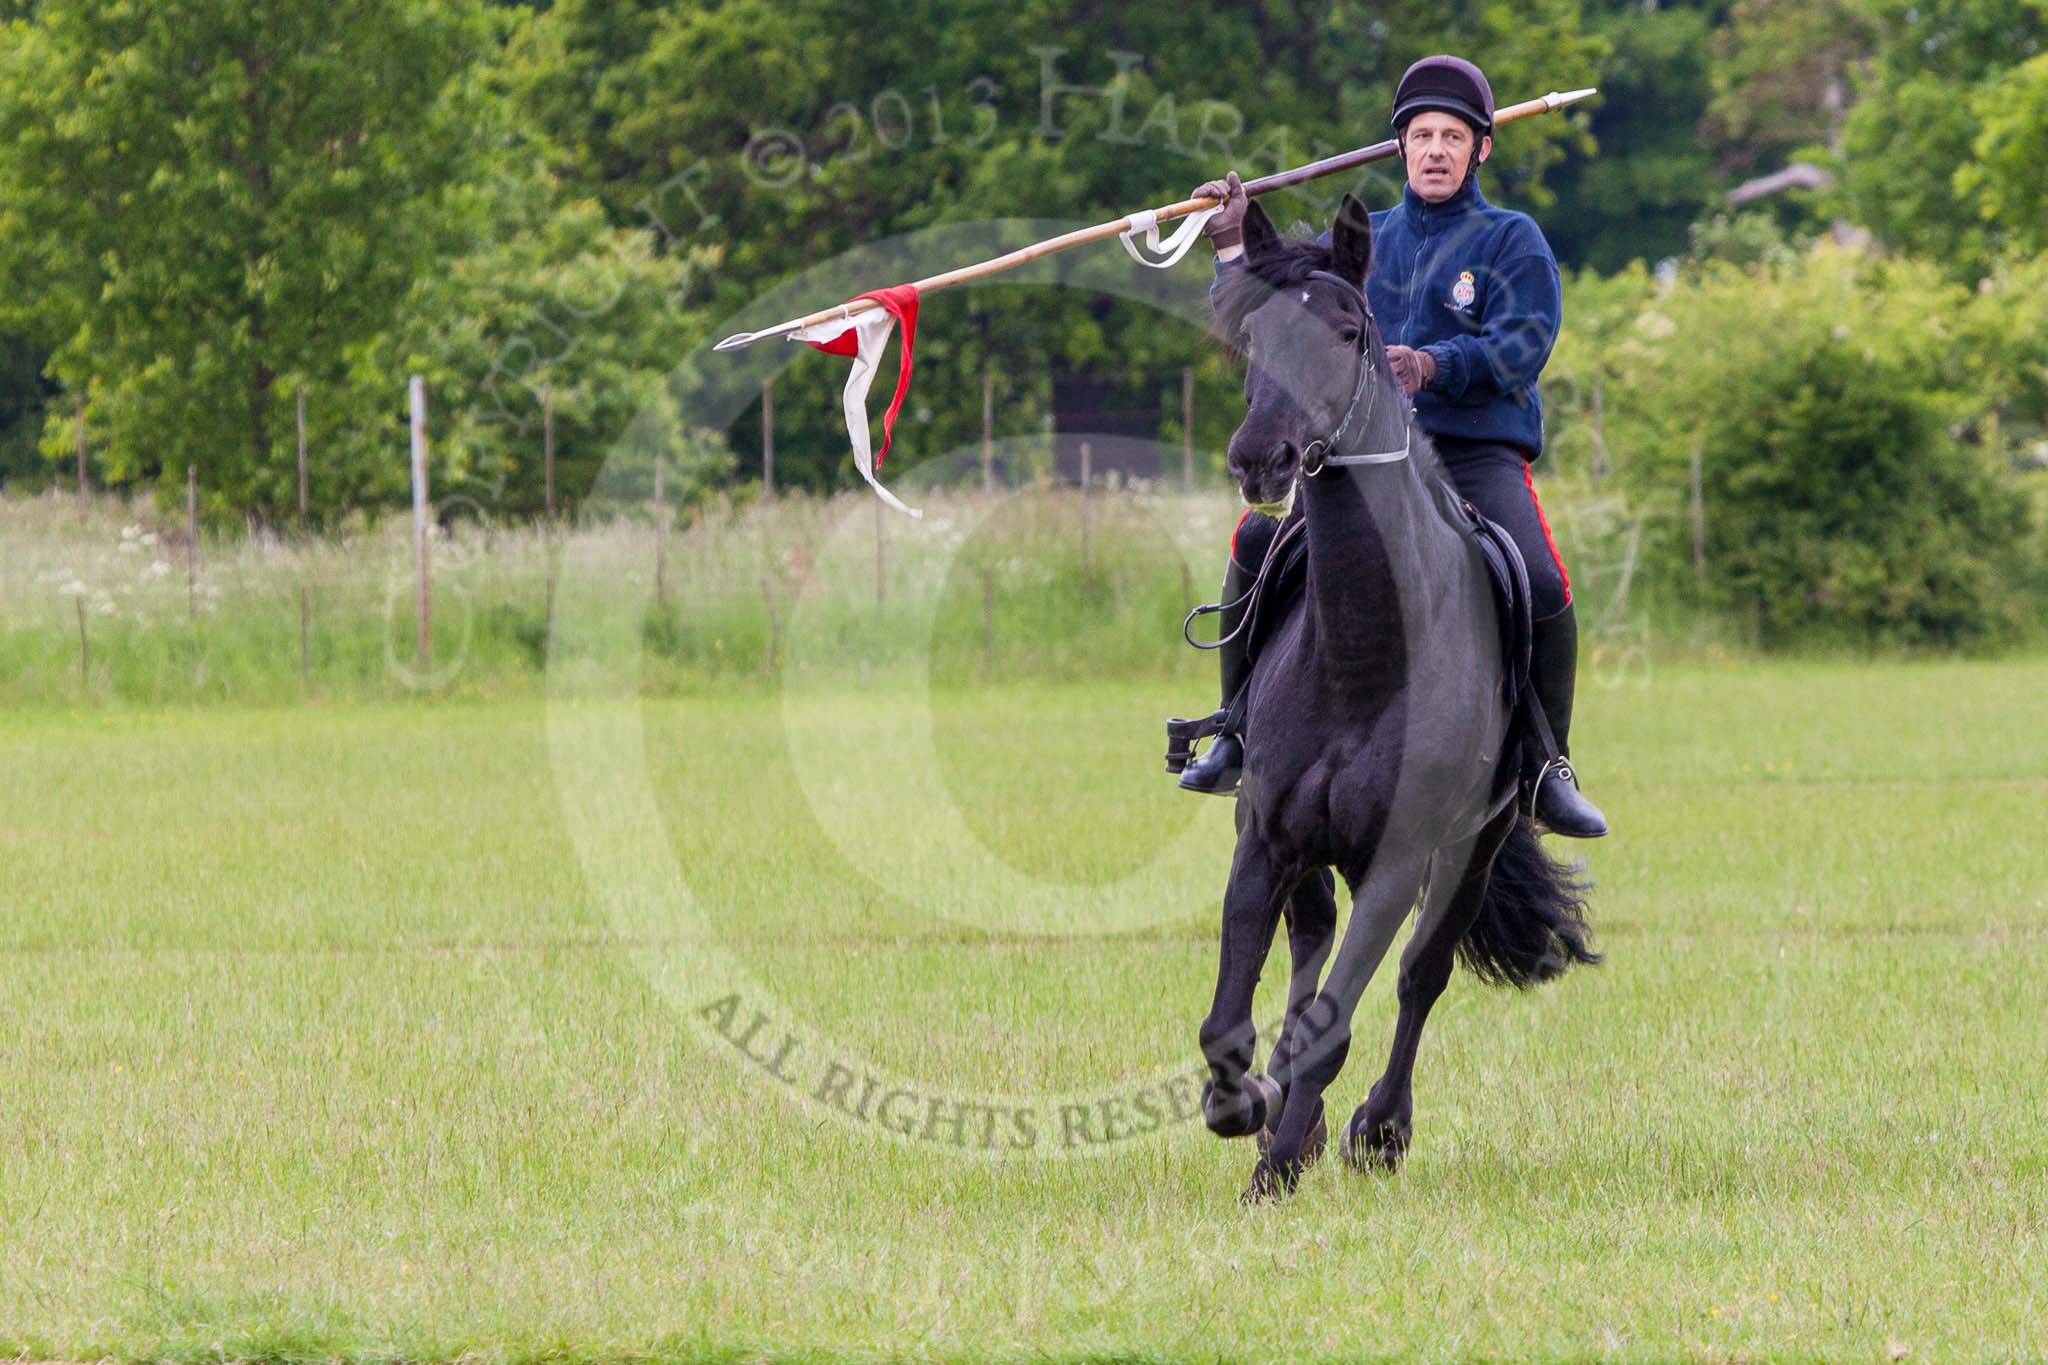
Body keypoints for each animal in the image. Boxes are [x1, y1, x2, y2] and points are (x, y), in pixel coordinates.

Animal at [1196, 189, 1605, 1195]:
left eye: (1348, 333)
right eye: (1254, 336)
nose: (1259, 459)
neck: (1364, 655)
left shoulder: (1401, 860)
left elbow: (1340, 1021)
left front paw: (1282, 1160)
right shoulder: (1265, 835)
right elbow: (1232, 1019)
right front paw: (1251, 1111)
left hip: (1475, 844)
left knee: (1422, 977)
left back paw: (1379, 1127)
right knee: (1311, 940)